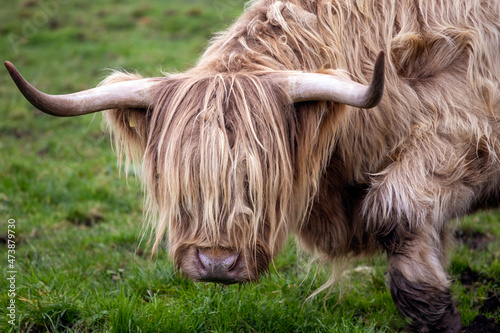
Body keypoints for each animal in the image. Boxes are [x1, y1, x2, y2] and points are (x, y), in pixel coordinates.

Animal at [6, 0, 500, 332]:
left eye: (256, 176)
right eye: (184, 181)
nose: (216, 263)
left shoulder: (465, 142)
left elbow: (397, 212)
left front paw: (438, 315)